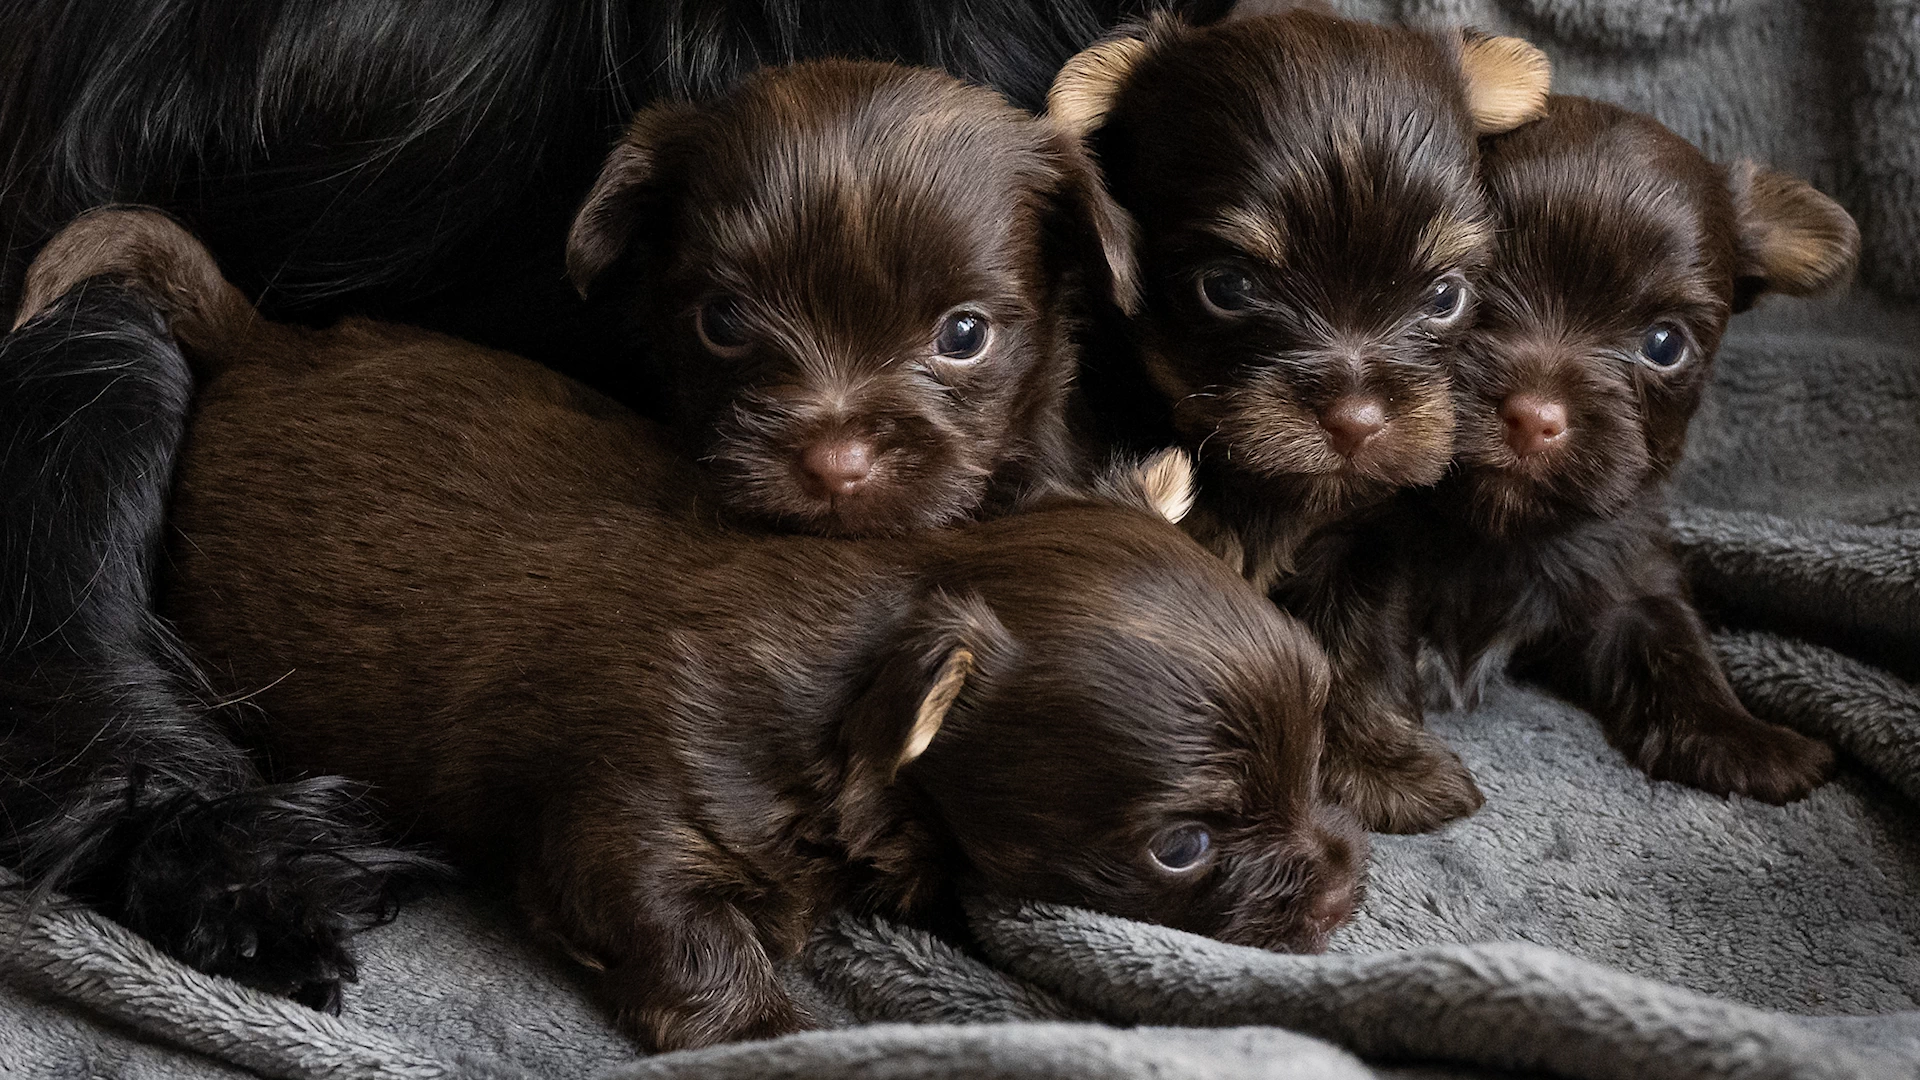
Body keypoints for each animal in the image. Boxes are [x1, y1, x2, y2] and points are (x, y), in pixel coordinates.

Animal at [18, 208, 1367, 1045]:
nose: (1349, 892)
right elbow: (694, 944)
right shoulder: (623, 827)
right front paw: (769, 1032)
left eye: (1320, 744)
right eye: (1183, 848)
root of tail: (254, 338)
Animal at [1044, 10, 1551, 834]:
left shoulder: (1370, 536)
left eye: (1444, 296)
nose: (1357, 420)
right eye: (1228, 287)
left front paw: (1385, 766)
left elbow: (1361, 644)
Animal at [1420, 98, 1850, 799]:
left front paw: (1747, 740)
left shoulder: (1629, 572)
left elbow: (1675, 642)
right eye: (1455, 294)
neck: (1498, 530)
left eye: (1664, 344)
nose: (1533, 418)